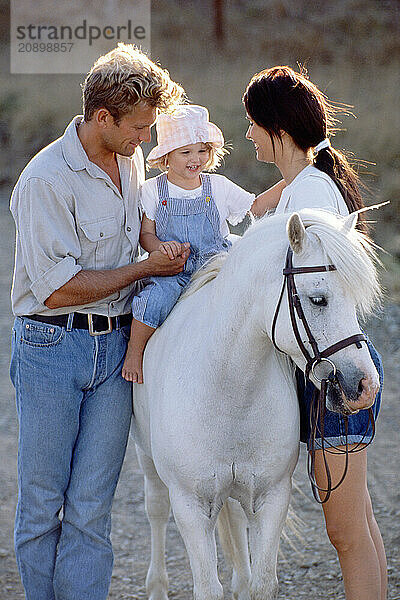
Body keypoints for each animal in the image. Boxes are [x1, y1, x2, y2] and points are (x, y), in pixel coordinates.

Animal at [133, 207, 380, 600]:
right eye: (319, 299)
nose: (365, 386)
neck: (229, 384)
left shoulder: (271, 499)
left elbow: (263, 582)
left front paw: (248, 581)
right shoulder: (190, 507)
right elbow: (207, 587)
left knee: (233, 518)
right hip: (147, 458)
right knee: (155, 508)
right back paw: (157, 586)